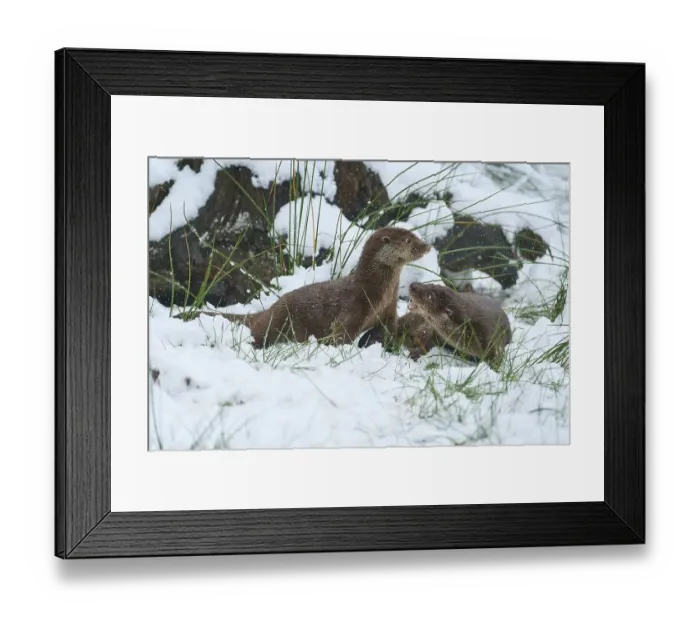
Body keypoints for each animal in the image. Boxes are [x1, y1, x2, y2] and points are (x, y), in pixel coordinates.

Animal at [186, 227, 430, 348]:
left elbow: (389, 328)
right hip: (276, 320)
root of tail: (267, 310)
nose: (426, 245)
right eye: (409, 240)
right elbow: (340, 335)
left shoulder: (388, 310)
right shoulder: (354, 307)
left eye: (415, 236)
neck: (376, 292)